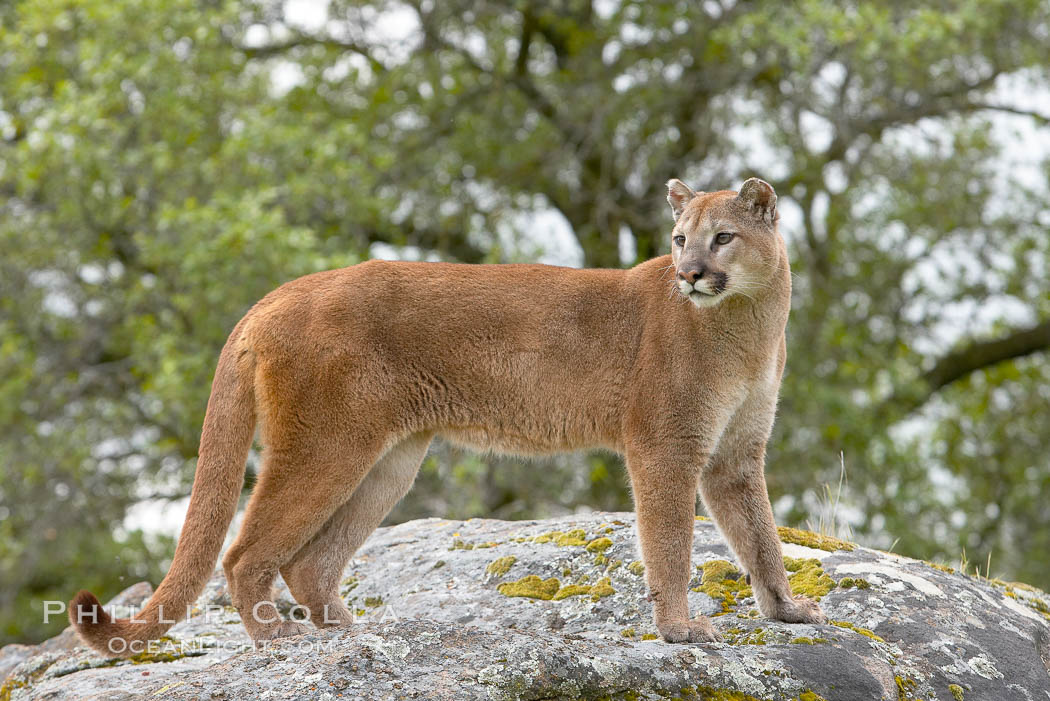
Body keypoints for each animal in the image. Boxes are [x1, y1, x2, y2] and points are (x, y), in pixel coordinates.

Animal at [71, 178, 827, 654]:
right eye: (677, 237)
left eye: (722, 237)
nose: (690, 273)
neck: (749, 324)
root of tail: (278, 294)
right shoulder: (666, 446)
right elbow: (670, 543)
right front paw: (679, 630)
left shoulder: (735, 454)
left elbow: (761, 536)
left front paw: (788, 610)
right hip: (326, 445)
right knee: (244, 552)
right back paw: (278, 637)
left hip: (389, 459)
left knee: (311, 562)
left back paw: (351, 632)